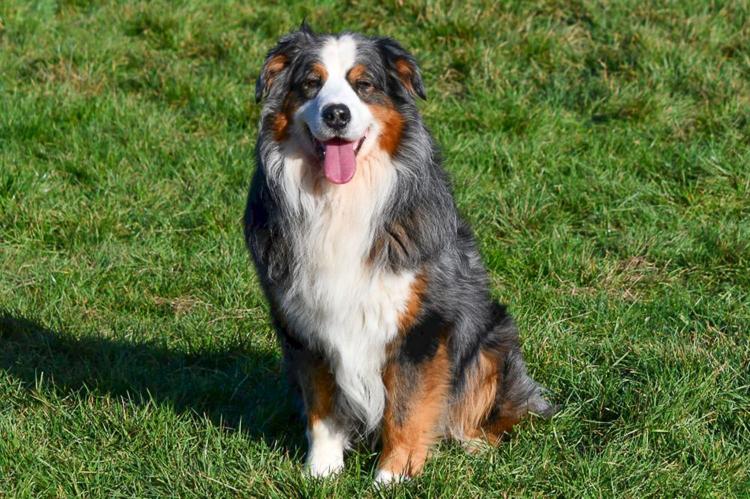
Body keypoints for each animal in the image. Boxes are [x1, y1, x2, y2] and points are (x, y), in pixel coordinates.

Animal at [244, 24, 556, 484]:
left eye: (364, 85)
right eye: (311, 83)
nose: (336, 114)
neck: (340, 201)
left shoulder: (424, 324)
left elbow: (407, 407)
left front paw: (393, 476)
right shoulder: (305, 324)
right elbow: (322, 406)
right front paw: (322, 471)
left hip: (491, 338)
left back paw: (476, 447)